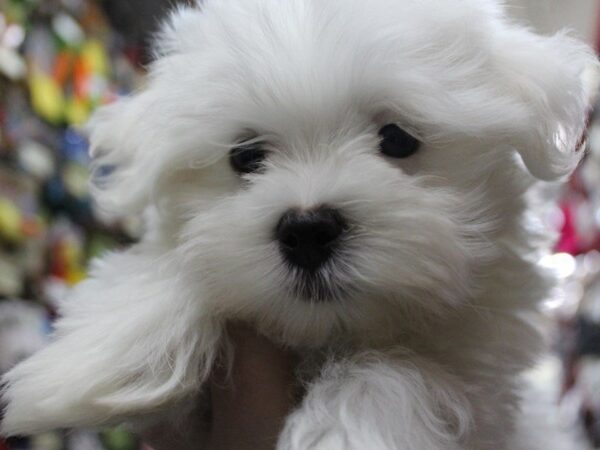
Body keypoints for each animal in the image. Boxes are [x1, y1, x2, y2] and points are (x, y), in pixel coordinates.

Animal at [1, 0, 600, 450]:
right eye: (245, 156)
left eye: (397, 139)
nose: (307, 230)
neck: (324, 334)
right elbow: (184, 266)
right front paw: (91, 366)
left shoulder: (490, 390)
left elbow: (407, 373)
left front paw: (347, 432)